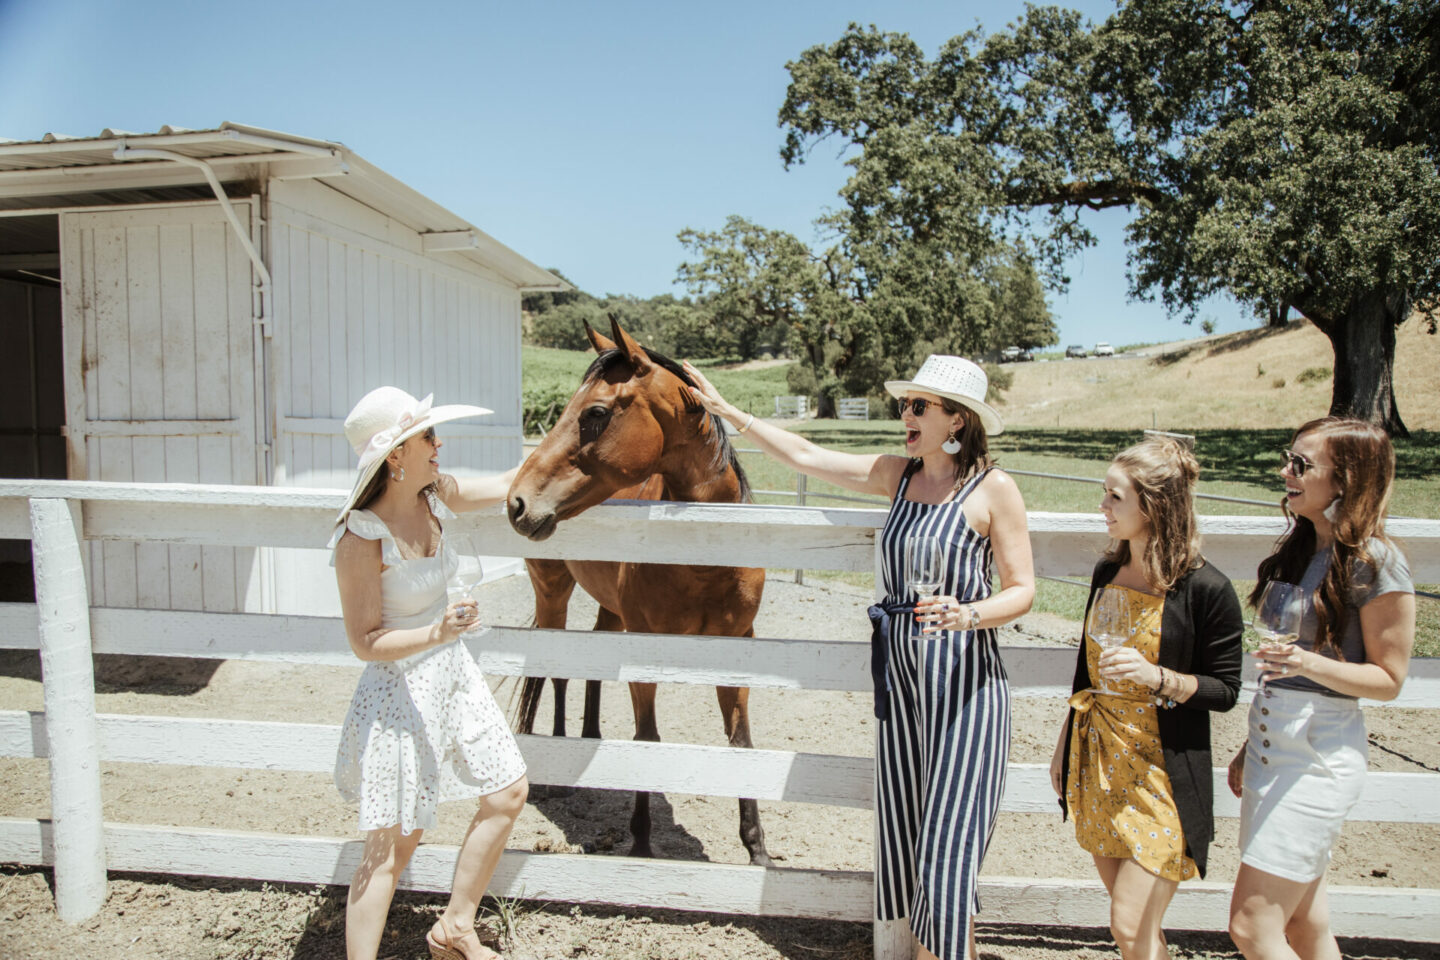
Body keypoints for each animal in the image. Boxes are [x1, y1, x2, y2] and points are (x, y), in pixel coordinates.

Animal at [509, 319, 777, 869]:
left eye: (595, 413)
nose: (517, 502)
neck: (705, 560)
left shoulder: (737, 647)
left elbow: (741, 742)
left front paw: (757, 849)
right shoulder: (645, 649)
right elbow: (647, 739)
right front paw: (641, 842)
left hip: (611, 613)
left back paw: (590, 739)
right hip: (554, 594)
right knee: (556, 673)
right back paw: (557, 776)